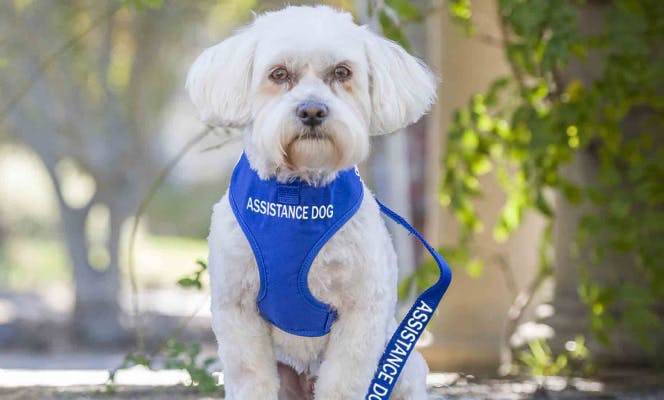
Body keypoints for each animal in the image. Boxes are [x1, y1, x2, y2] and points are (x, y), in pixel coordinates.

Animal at [184, 5, 438, 400]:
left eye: (342, 72)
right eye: (279, 74)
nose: (313, 111)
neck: (297, 193)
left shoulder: (361, 312)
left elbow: (343, 382)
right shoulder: (237, 309)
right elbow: (250, 377)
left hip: (402, 365)